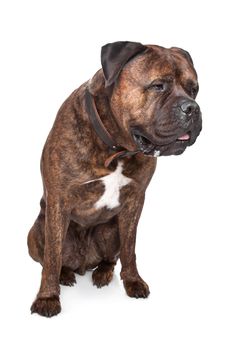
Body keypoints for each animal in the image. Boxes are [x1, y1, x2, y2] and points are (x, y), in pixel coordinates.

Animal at [27, 41, 202, 318]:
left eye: (194, 90)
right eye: (158, 86)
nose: (192, 108)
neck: (116, 147)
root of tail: (83, 265)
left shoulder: (134, 202)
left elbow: (130, 249)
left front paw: (133, 282)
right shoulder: (58, 202)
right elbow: (52, 257)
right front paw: (47, 298)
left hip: (110, 231)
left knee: (111, 257)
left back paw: (103, 273)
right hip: (36, 232)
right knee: (53, 258)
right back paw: (66, 275)